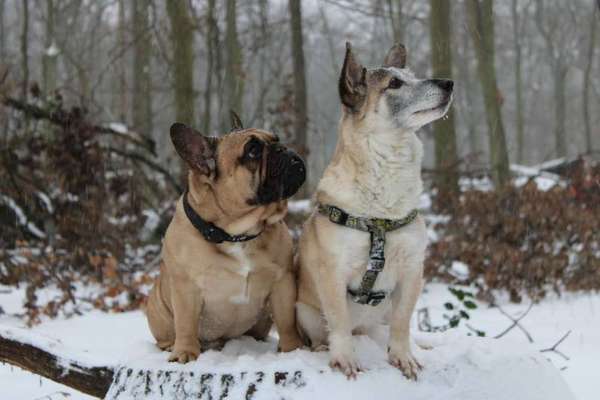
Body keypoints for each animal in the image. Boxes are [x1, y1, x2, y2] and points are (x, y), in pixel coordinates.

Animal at [145, 118, 304, 362]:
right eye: (253, 151)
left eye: (276, 138)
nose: (284, 149)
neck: (236, 233)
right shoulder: (185, 288)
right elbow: (186, 323)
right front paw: (185, 353)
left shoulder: (282, 282)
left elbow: (287, 321)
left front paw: (292, 349)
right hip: (157, 307)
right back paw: (172, 346)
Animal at [296, 43, 454, 378]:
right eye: (394, 83)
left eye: (411, 75)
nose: (449, 83)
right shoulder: (333, 273)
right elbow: (339, 322)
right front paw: (344, 358)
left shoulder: (412, 270)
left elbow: (402, 322)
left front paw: (403, 356)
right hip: (303, 310)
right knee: (326, 332)